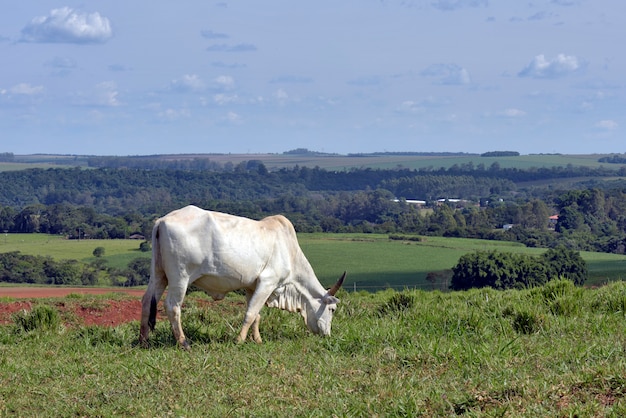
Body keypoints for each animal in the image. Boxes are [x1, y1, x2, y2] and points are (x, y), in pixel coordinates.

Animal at [139, 204, 344, 348]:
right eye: (332, 309)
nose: (327, 335)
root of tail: (162, 221)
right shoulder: (268, 282)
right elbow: (251, 313)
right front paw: (239, 340)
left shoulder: (252, 286)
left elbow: (256, 315)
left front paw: (258, 340)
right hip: (180, 277)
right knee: (172, 306)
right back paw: (184, 343)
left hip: (159, 274)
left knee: (147, 300)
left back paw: (143, 341)